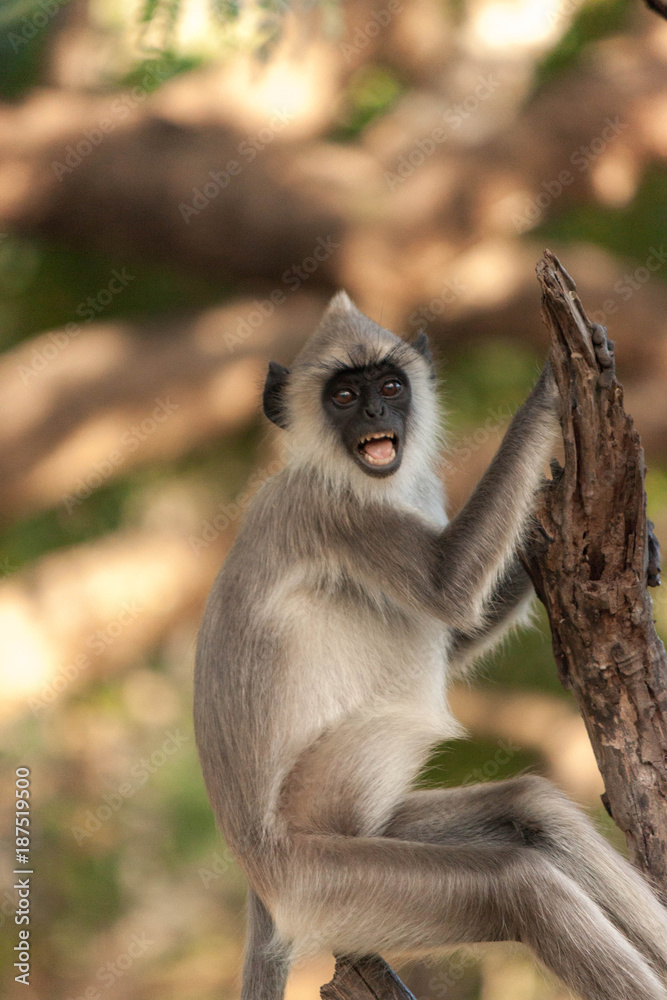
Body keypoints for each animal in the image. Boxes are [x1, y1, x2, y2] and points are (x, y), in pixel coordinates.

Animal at [194, 292, 667, 1000]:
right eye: (343, 395)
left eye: (391, 387)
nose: (375, 414)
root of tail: (259, 883)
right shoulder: (329, 509)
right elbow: (447, 587)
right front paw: (552, 387)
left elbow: (454, 632)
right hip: (331, 886)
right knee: (523, 886)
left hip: (376, 837)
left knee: (532, 811)